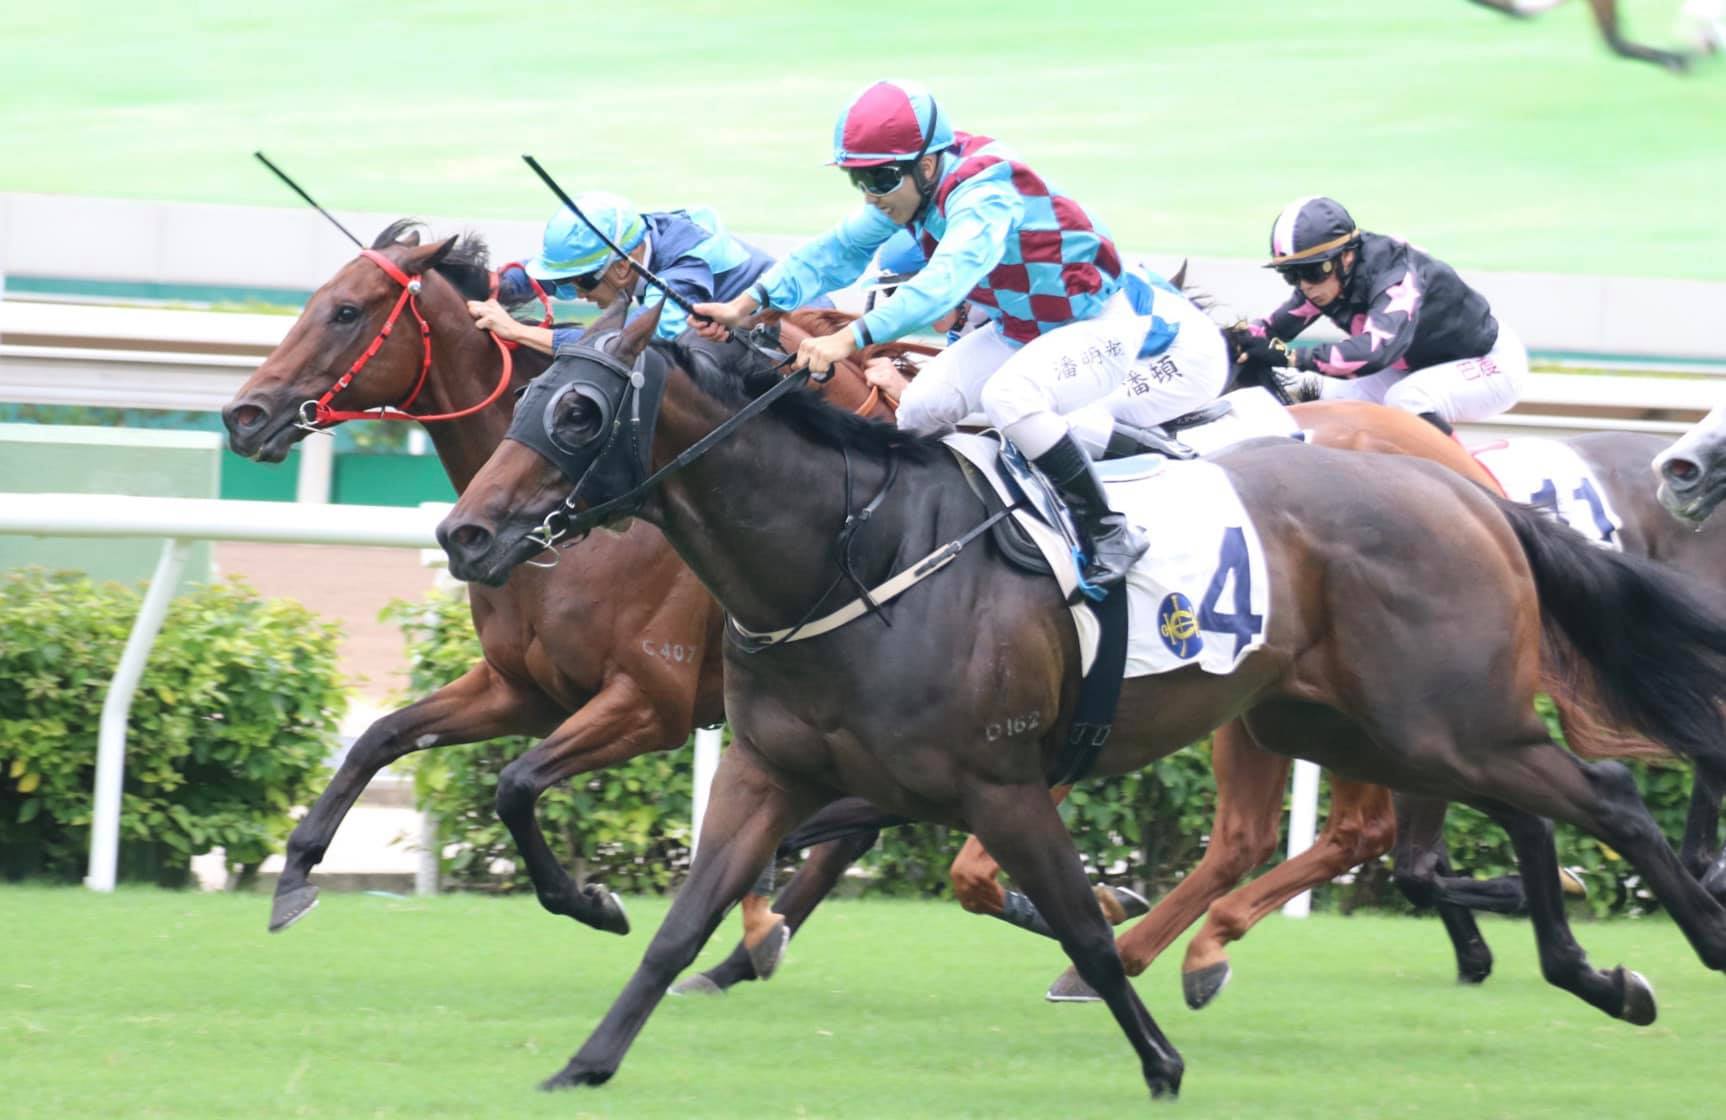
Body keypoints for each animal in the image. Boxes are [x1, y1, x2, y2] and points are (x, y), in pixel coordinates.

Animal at [434, 302, 1726, 1097]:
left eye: (579, 411)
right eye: (531, 392)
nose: (463, 534)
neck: (851, 551)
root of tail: (1462, 485)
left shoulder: (998, 783)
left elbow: (1086, 934)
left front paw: (1157, 1058)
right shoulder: (769, 769)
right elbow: (680, 926)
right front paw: (587, 1058)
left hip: (1431, 721)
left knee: (1602, 794)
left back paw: (1685, 940)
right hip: (1363, 722)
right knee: (1509, 812)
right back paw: (1594, 971)